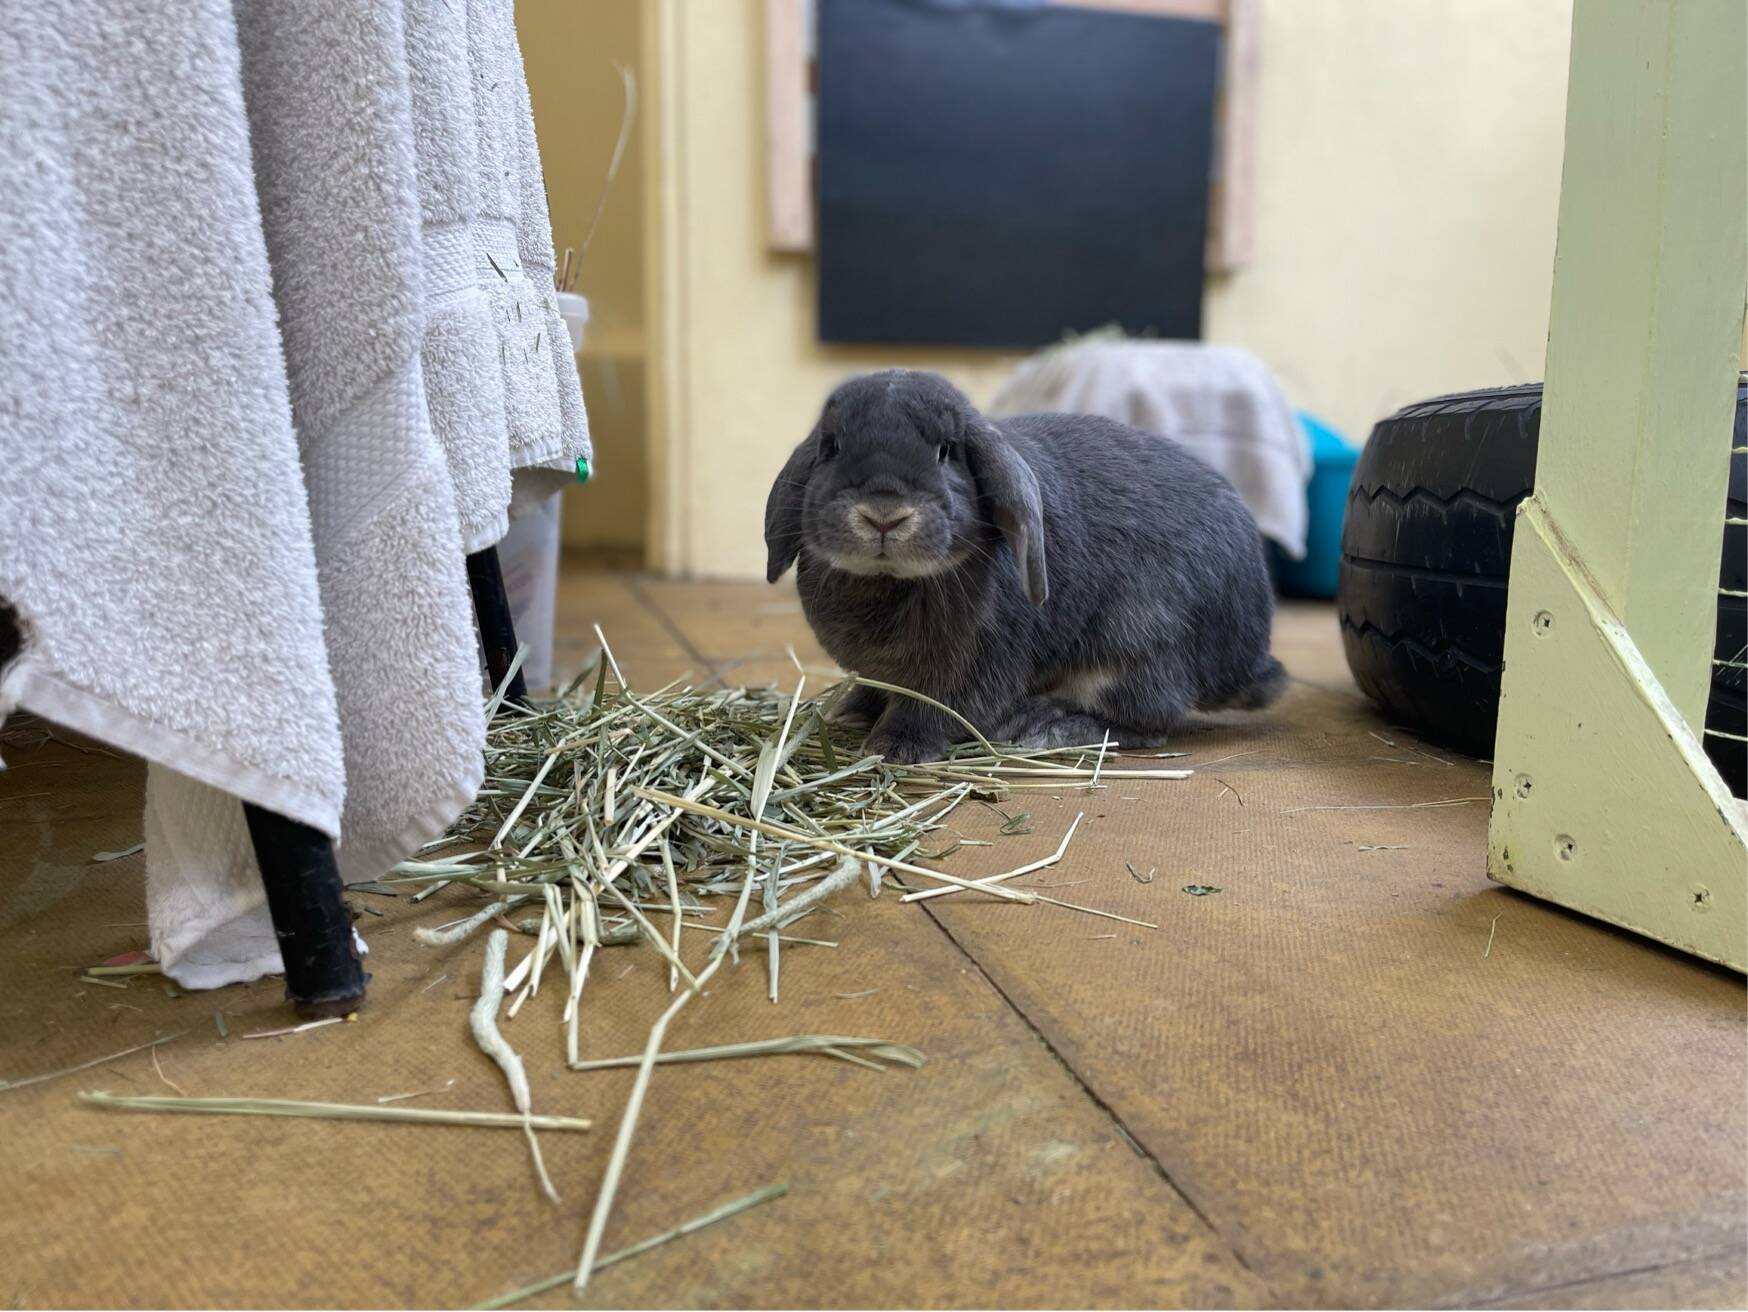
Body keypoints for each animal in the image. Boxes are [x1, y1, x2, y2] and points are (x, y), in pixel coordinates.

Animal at [764, 369, 1286, 764]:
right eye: (831, 446)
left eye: (946, 450)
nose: (883, 514)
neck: (890, 581)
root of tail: (1248, 658)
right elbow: (878, 691)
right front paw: (851, 711)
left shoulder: (968, 668)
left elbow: (932, 710)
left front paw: (894, 748)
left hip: (1135, 644)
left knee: (1148, 719)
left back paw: (1044, 725)